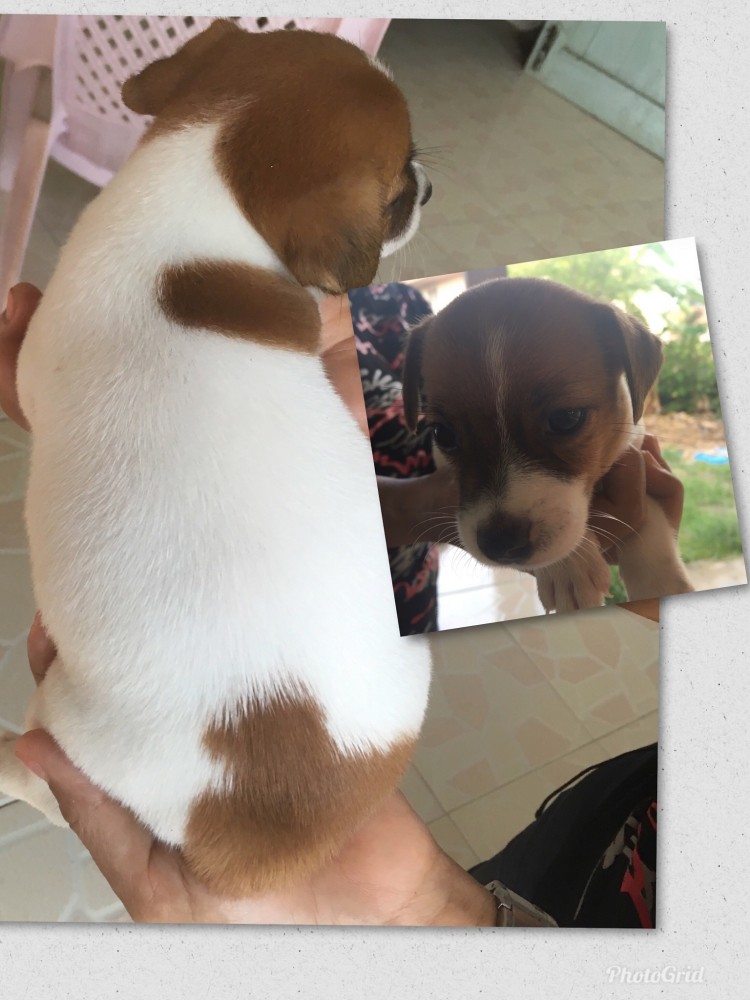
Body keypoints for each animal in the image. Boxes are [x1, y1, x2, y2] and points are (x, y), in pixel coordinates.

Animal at [0, 21, 433, 897]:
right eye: (399, 180)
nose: (431, 185)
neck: (207, 180)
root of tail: (267, 837)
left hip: (70, 723)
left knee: (38, 782)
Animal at [402, 277, 694, 612]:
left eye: (565, 419)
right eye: (443, 434)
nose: (500, 544)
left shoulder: (638, 453)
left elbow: (651, 519)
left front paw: (662, 583)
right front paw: (569, 567)